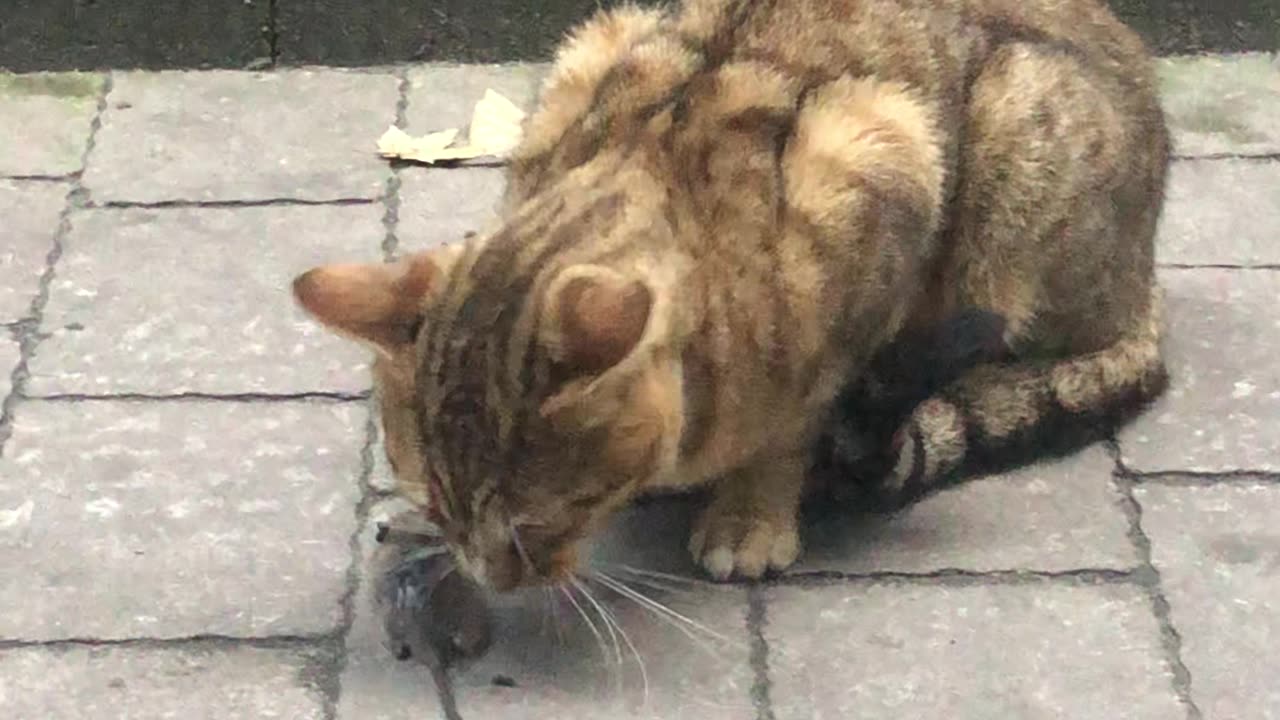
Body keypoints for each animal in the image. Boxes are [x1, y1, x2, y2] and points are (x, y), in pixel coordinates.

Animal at [293, 0, 1172, 586]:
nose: (490, 581)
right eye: (440, 506)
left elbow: (794, 421)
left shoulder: (879, 158)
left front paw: (751, 515)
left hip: (1011, 138)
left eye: (535, 523)